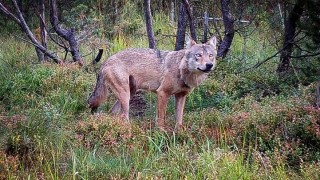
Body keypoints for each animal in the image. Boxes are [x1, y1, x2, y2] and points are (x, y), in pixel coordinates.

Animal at [87, 36, 218, 130]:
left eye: (210, 55)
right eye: (198, 55)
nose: (209, 65)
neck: (180, 69)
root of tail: (106, 61)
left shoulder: (181, 96)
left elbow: (179, 119)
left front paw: (179, 133)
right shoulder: (162, 93)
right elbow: (161, 118)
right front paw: (160, 133)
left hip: (129, 94)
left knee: (113, 112)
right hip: (125, 96)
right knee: (124, 116)